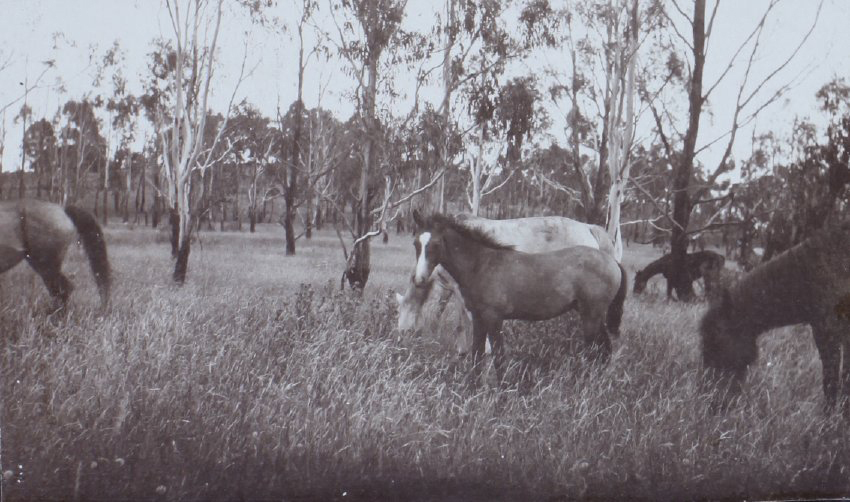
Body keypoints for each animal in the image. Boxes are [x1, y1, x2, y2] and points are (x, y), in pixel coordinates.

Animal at [411, 212, 627, 383]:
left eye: (436, 244)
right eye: (415, 243)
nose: (419, 279)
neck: (482, 264)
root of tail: (613, 262)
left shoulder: (494, 318)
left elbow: (498, 357)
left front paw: (503, 392)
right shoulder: (479, 319)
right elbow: (477, 356)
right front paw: (474, 389)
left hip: (591, 316)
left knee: (595, 351)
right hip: (593, 316)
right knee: (605, 349)